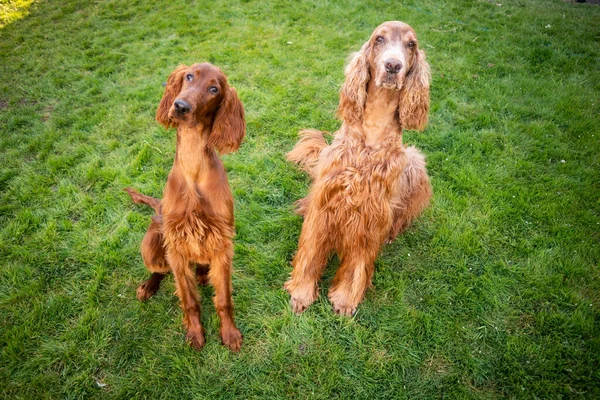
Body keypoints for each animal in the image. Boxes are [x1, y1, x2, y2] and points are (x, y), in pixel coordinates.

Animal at [125, 62, 245, 350]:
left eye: (214, 89)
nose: (180, 106)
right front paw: (194, 333)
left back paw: (201, 273)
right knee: (159, 270)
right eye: (189, 76)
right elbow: (189, 299)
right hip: (152, 244)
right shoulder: (176, 245)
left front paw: (229, 333)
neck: (193, 169)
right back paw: (148, 286)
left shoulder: (222, 242)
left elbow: (223, 299)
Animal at [284, 21, 432, 316]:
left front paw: (345, 299)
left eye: (411, 44)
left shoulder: (371, 212)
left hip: (414, 163)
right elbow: (311, 249)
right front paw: (302, 292)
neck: (371, 136)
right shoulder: (325, 201)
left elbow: (358, 262)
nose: (393, 66)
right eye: (379, 39)